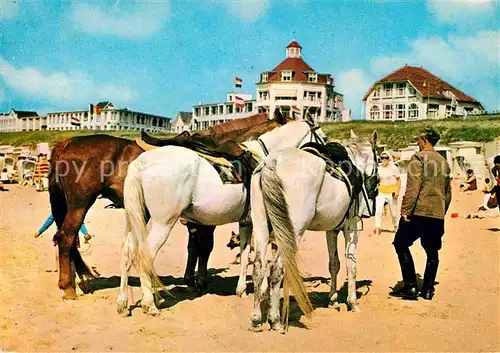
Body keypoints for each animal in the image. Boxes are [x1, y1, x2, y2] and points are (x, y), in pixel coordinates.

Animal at [50, 109, 288, 296]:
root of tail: (66, 143)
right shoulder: (206, 220)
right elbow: (205, 247)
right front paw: (199, 281)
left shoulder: (196, 219)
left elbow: (194, 247)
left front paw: (191, 279)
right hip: (80, 204)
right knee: (66, 237)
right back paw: (68, 286)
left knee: (66, 239)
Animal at [116, 116, 328, 316]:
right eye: (324, 138)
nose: (328, 161)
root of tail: (142, 163)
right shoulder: (261, 223)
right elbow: (260, 255)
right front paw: (262, 290)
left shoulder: (246, 223)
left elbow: (244, 254)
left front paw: (241, 289)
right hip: (163, 222)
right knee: (145, 254)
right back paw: (149, 304)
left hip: (140, 217)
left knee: (128, 250)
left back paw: (123, 303)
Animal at [248, 129, 376, 330]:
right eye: (379, 160)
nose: (374, 191)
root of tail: (271, 163)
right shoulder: (351, 227)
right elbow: (351, 264)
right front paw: (352, 302)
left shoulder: (332, 230)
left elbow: (334, 264)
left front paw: (333, 300)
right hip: (293, 231)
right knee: (276, 268)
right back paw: (275, 320)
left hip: (261, 227)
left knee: (259, 268)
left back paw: (256, 318)